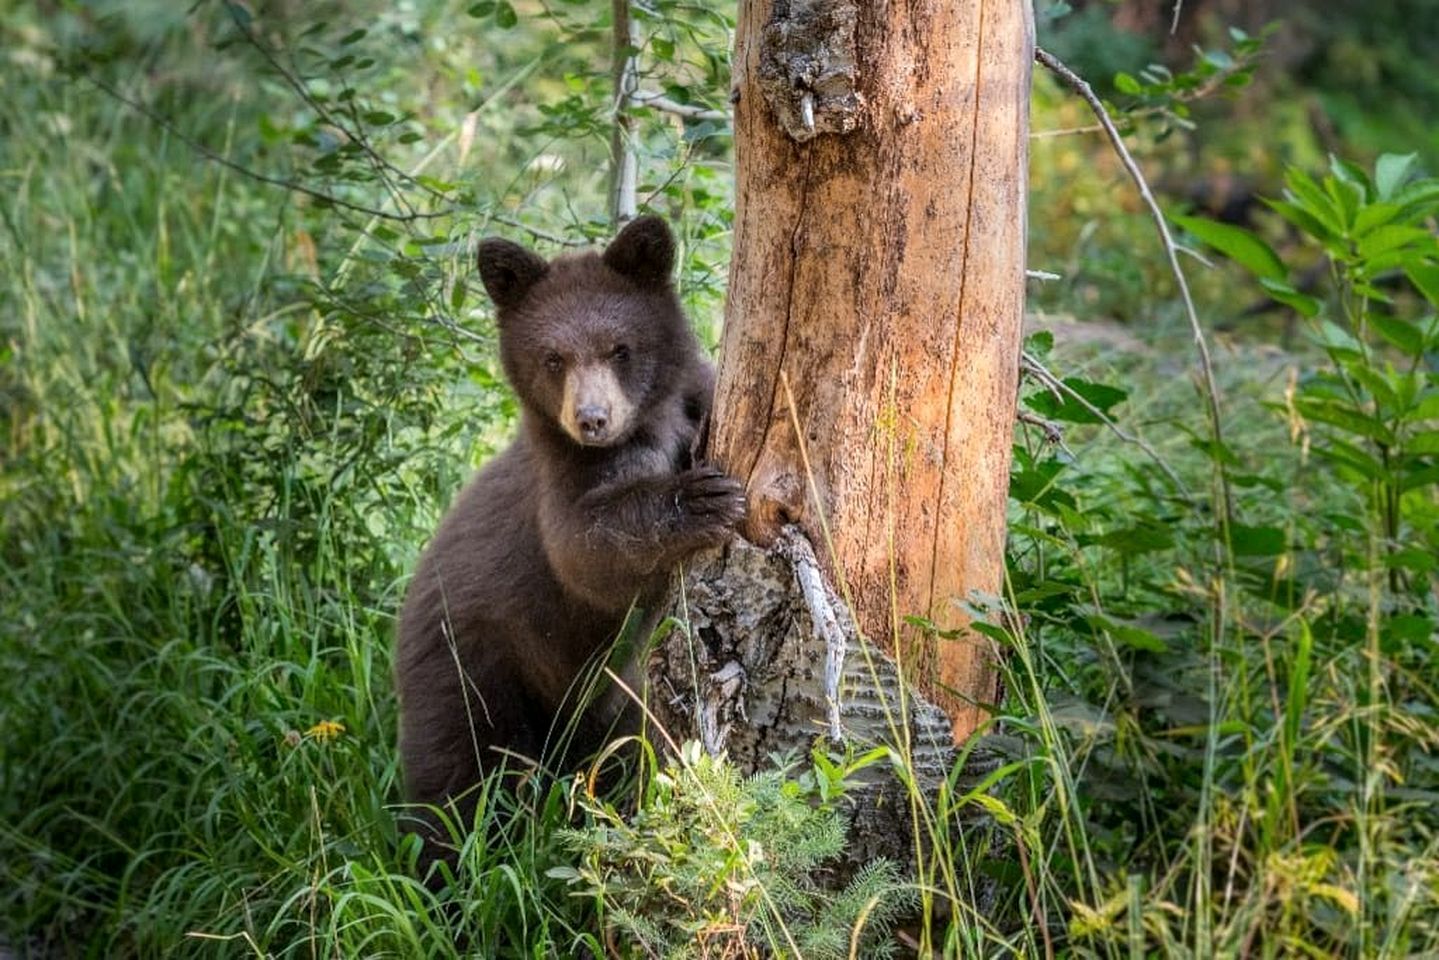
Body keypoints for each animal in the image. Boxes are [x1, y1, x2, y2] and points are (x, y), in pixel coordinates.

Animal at [394, 215, 745, 869]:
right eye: (553, 357)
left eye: (620, 348)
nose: (592, 419)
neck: (646, 426)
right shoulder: (563, 477)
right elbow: (585, 550)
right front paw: (703, 500)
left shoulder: (695, 398)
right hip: (469, 670)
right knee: (459, 782)